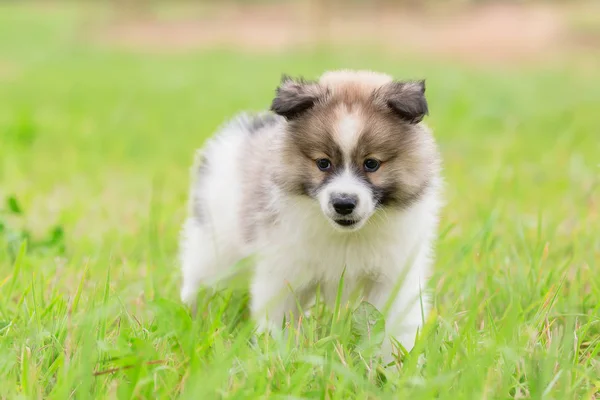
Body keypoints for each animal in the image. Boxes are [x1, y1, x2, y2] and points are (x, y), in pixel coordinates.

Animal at [178, 69, 440, 360]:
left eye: (371, 164)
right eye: (323, 163)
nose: (344, 203)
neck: (345, 236)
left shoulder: (394, 275)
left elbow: (395, 325)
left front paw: (395, 363)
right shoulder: (284, 270)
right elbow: (277, 318)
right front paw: (277, 355)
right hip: (215, 244)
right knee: (199, 276)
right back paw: (192, 313)